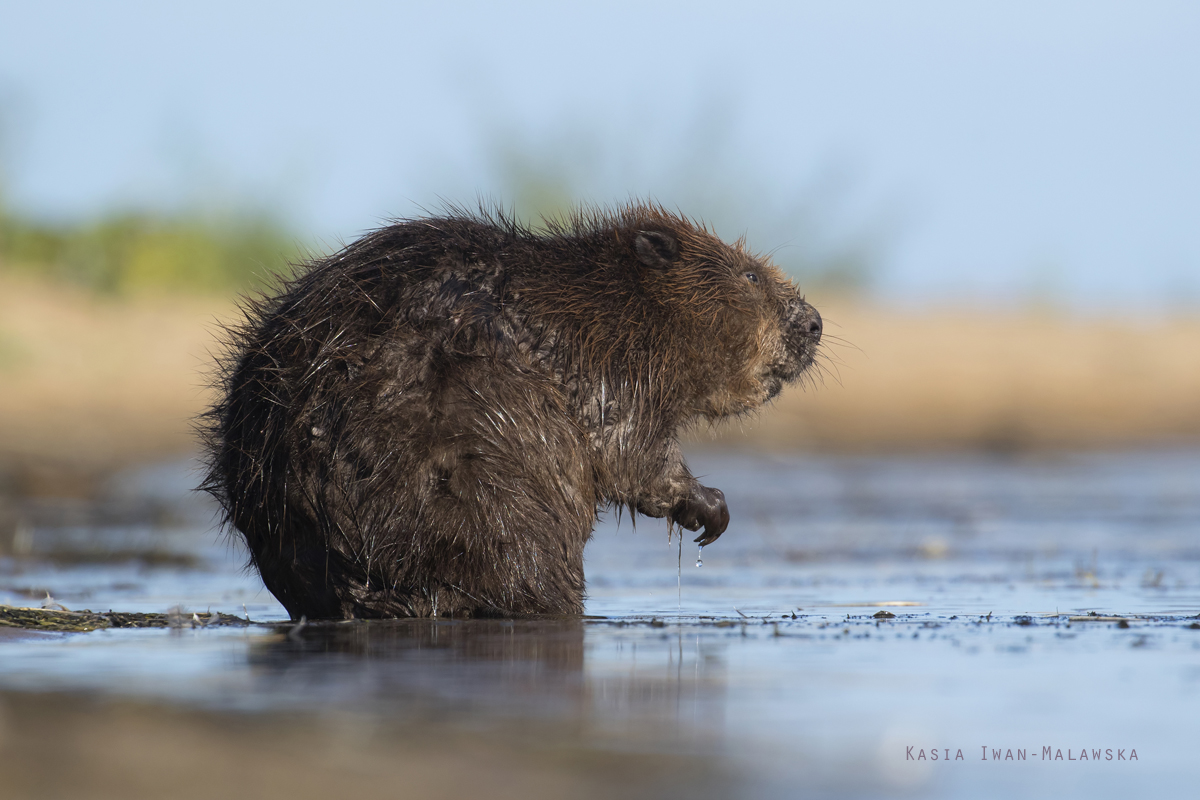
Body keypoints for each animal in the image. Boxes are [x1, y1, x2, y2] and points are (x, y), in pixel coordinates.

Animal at [201, 203, 820, 623]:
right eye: (750, 276)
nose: (813, 322)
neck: (603, 306)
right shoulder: (607, 371)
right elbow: (632, 455)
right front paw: (710, 510)